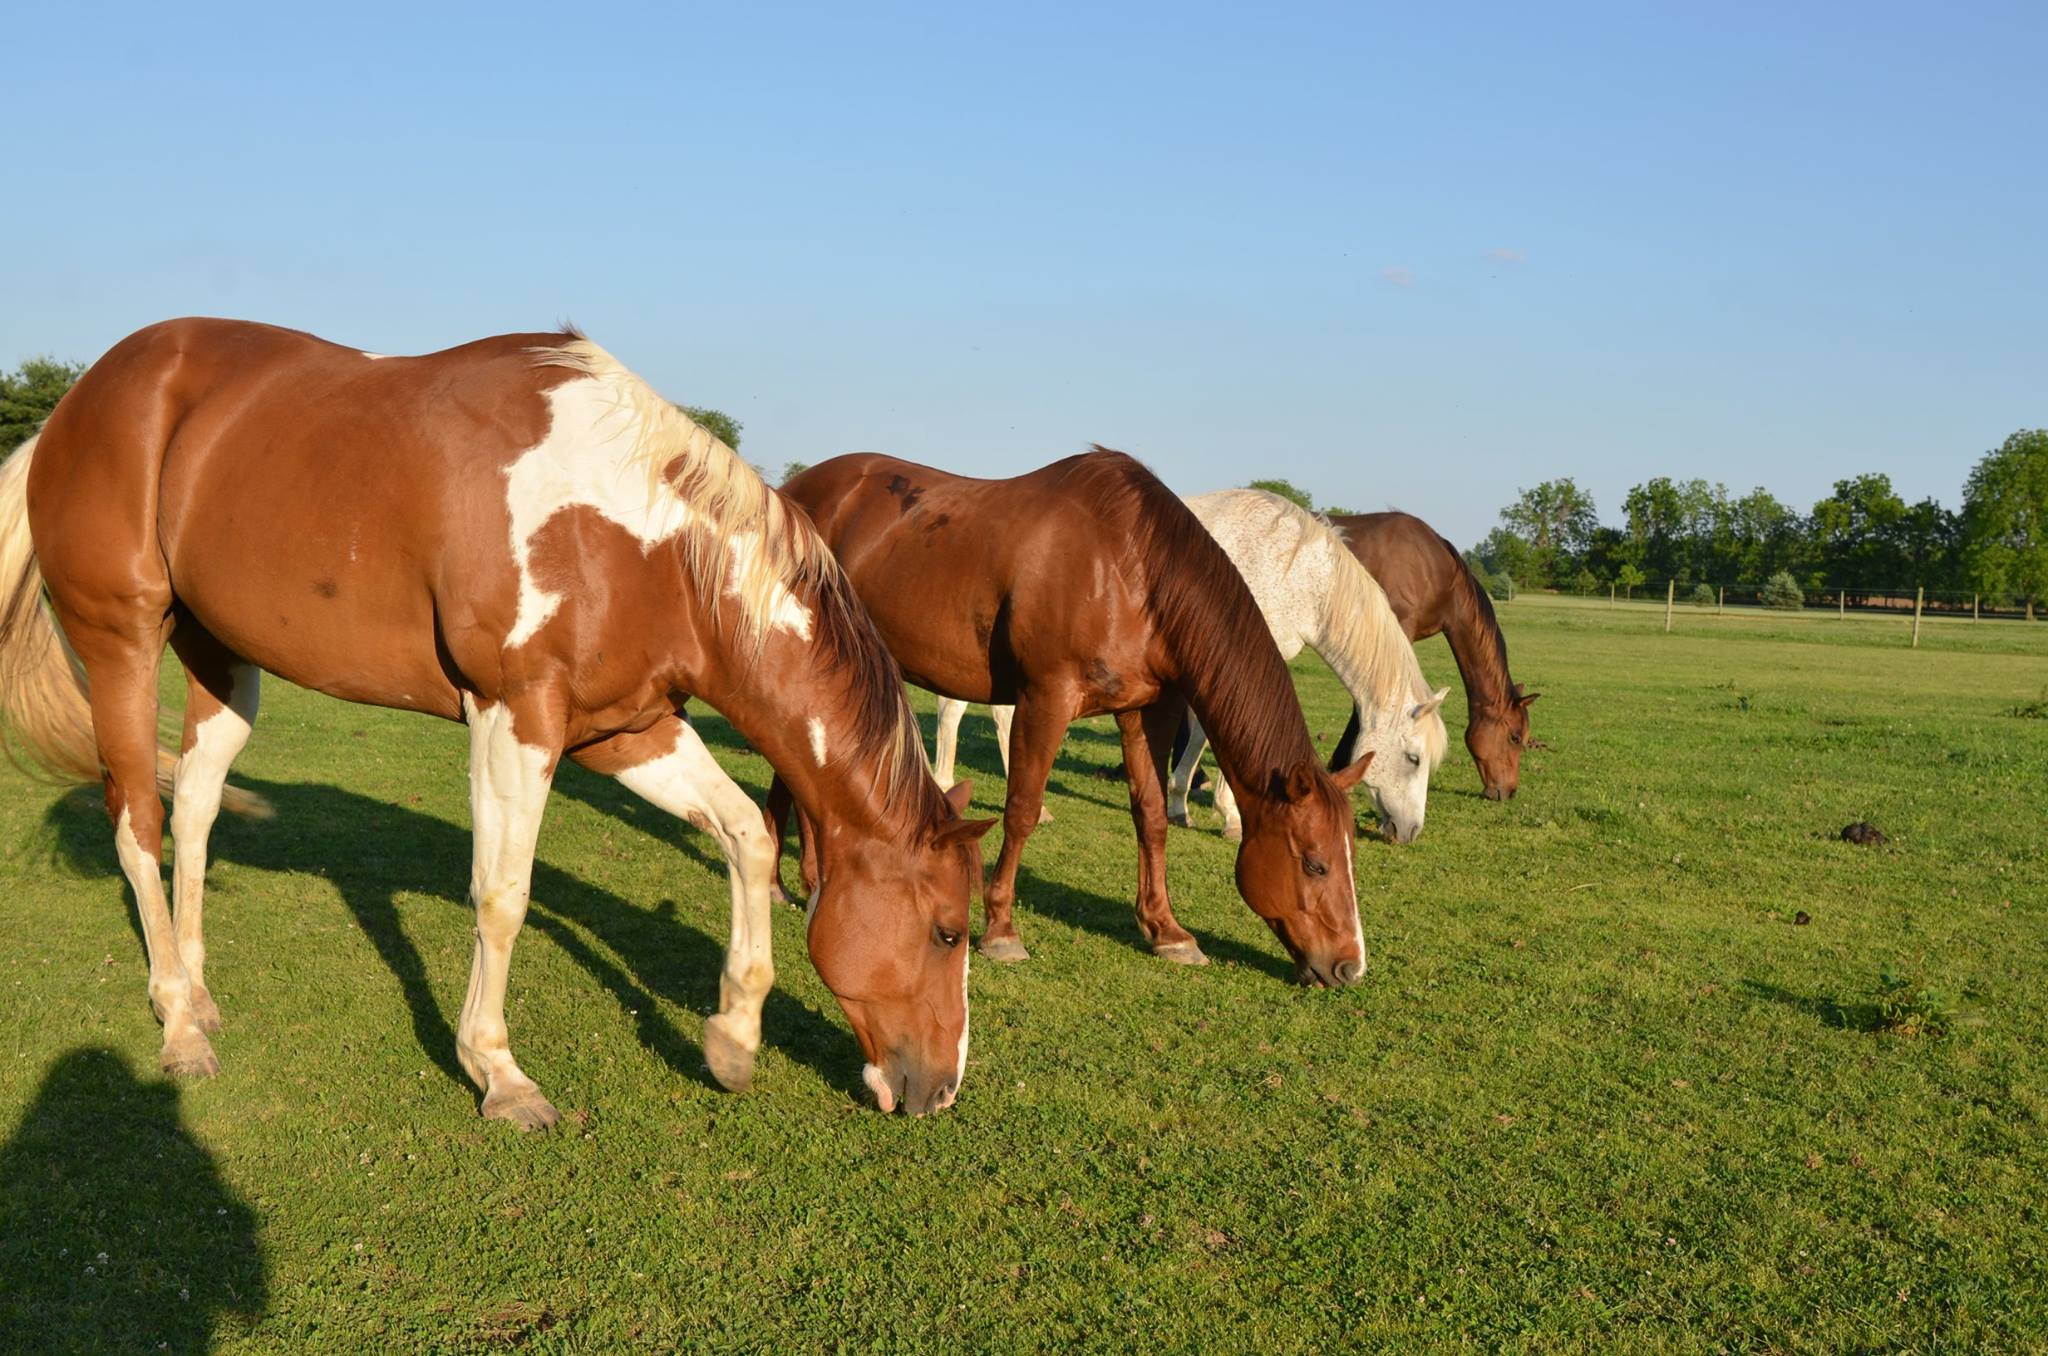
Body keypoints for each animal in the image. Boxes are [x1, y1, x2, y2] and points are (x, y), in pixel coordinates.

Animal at [0, 318, 993, 1124]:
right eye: (947, 932)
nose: (940, 1092)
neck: (640, 542)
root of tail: (75, 407)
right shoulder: (515, 717)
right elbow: (503, 894)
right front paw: (499, 1073)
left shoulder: (627, 730)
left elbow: (746, 834)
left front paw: (732, 1038)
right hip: (123, 647)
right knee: (138, 822)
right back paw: (178, 1026)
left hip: (221, 662)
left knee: (197, 813)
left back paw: (199, 991)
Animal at [768, 449, 1374, 984]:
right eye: (1314, 863)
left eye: (1351, 859)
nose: (1349, 967)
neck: (1131, 567)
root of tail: (792, 492)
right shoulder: (1047, 698)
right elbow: (1022, 809)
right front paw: (1002, 929)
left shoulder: (1145, 712)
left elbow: (1152, 816)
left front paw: (1166, 930)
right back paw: (788, 881)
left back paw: (798, 880)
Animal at [933, 488, 1449, 844]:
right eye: (1413, 758)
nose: (1410, 831)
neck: (1295, 572)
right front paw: (1232, 816)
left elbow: (1199, 731)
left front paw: (1181, 801)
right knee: (952, 709)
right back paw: (944, 784)